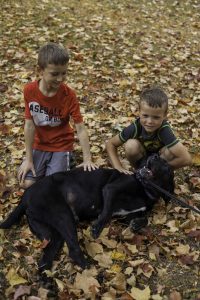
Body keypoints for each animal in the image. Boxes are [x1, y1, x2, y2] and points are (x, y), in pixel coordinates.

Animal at [0, 155, 173, 270]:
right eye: (158, 158)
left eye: (165, 163)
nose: (153, 155)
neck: (146, 188)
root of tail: (25, 195)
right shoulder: (111, 189)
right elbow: (106, 212)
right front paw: (97, 227)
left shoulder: (125, 215)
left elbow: (143, 218)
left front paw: (137, 224)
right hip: (63, 215)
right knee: (73, 250)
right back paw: (91, 270)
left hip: (50, 231)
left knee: (51, 249)